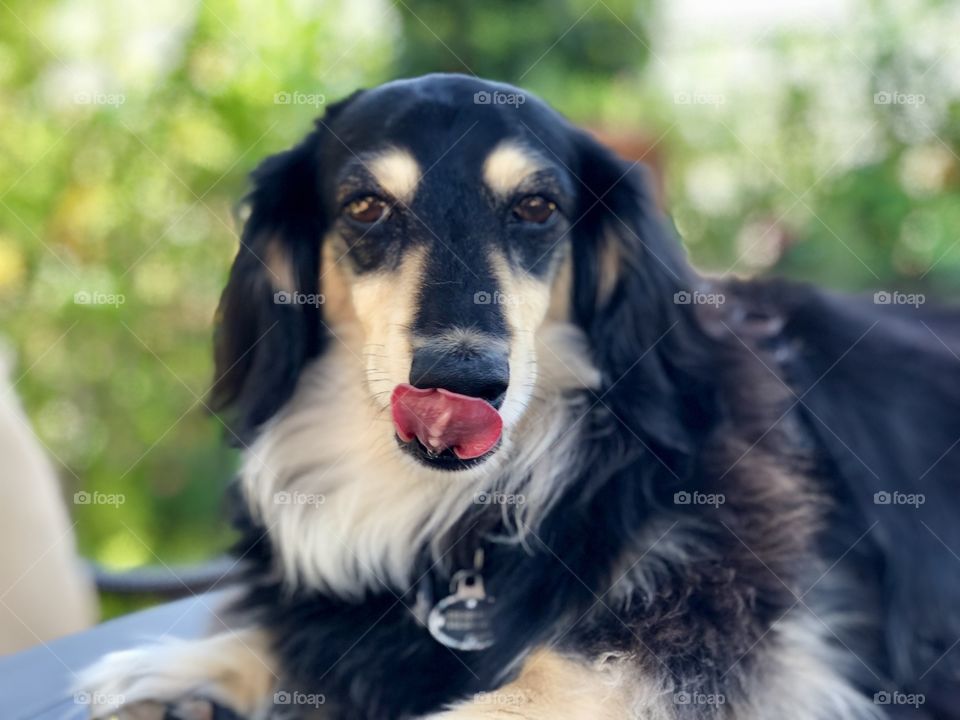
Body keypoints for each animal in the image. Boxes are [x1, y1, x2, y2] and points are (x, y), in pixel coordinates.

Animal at [80, 74, 960, 720]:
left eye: (536, 207)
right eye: (366, 206)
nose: (462, 383)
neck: (466, 516)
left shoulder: (728, 639)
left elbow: (532, 686)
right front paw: (178, 671)